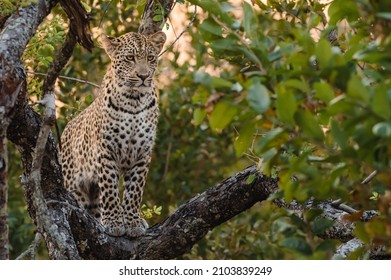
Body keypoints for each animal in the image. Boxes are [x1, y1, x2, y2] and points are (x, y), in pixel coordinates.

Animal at [59, 30, 167, 236]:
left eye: (150, 58)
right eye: (130, 58)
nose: (143, 76)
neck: (134, 100)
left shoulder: (143, 153)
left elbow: (135, 191)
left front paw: (132, 222)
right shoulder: (106, 150)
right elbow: (110, 189)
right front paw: (114, 222)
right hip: (74, 184)